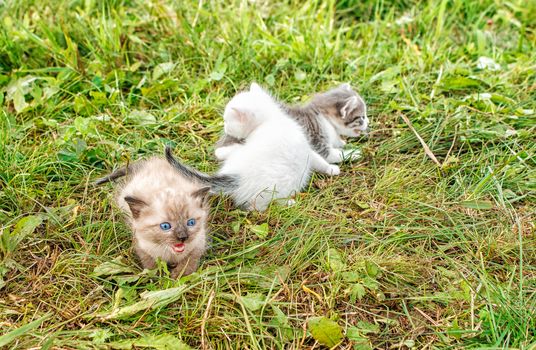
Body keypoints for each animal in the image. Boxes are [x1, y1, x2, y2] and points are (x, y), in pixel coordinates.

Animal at [215, 83, 368, 164]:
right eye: (362, 117)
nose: (368, 121)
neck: (324, 118)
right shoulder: (317, 140)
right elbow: (332, 155)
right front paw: (353, 153)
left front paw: (341, 142)